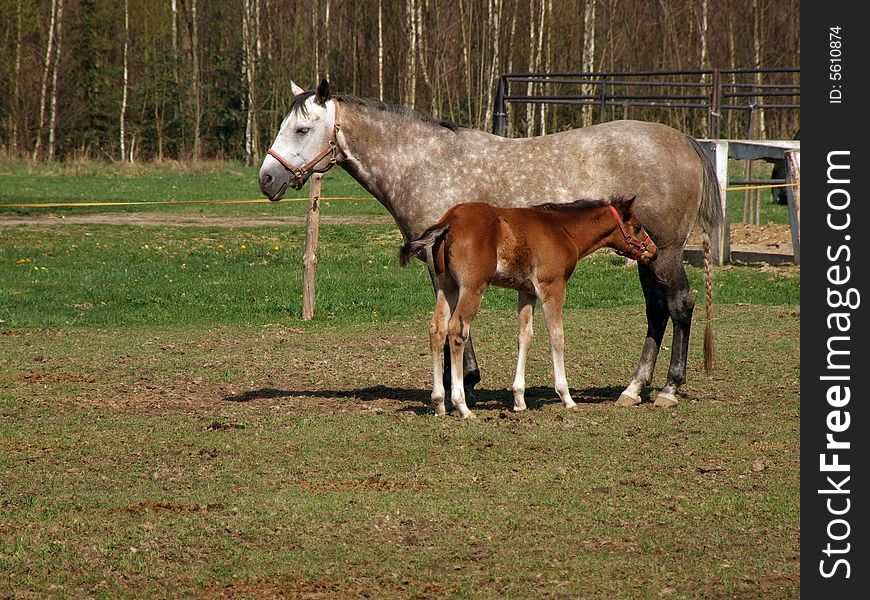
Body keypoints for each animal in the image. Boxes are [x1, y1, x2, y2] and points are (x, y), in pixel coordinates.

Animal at [406, 197, 656, 418]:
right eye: (637, 227)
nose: (653, 251)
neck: (562, 231)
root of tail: (450, 221)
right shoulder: (552, 288)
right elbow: (557, 336)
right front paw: (567, 398)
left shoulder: (526, 292)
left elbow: (524, 337)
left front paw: (519, 400)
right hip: (471, 287)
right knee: (457, 331)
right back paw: (462, 406)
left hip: (446, 286)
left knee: (437, 330)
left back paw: (439, 403)